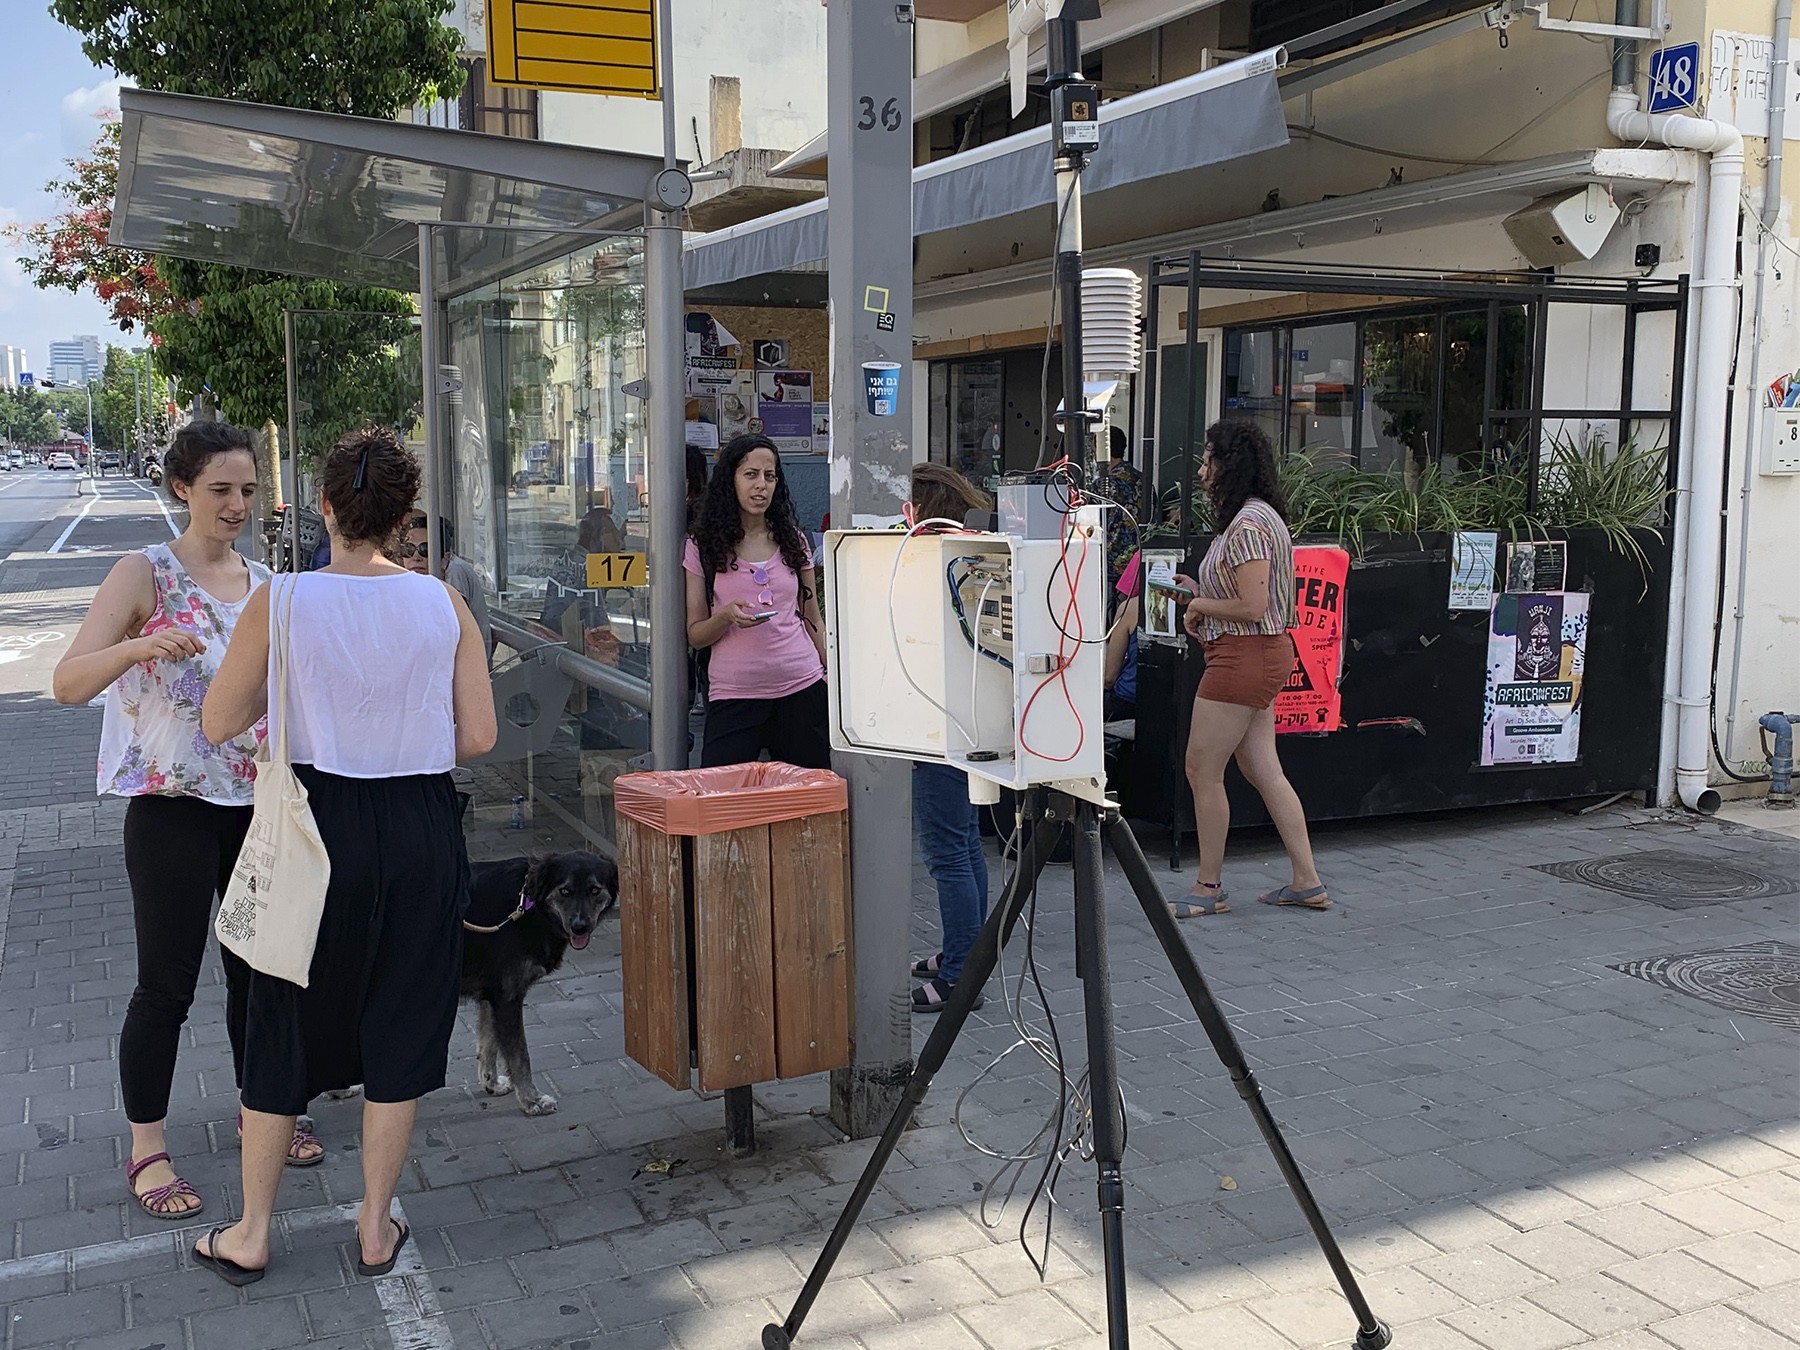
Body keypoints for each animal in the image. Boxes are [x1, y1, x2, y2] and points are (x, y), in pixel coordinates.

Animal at [464, 856, 619, 1123]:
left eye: (595, 890)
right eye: (565, 891)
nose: (579, 927)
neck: (530, 907)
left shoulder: (491, 996)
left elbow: (488, 1042)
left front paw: (491, 1084)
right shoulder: (507, 997)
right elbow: (520, 1057)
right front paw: (531, 1100)